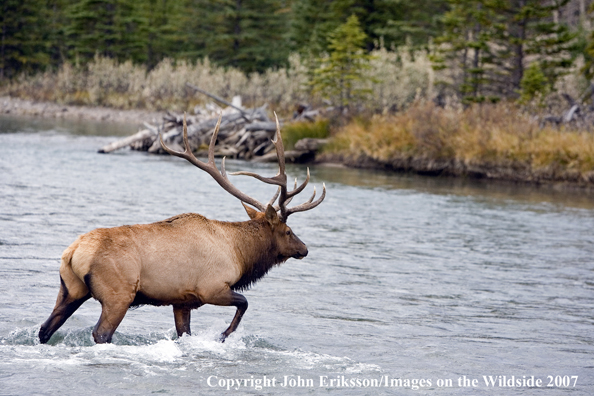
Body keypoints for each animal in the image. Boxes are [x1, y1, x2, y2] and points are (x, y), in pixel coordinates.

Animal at [38, 113, 324, 344]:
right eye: (288, 231)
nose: (305, 249)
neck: (240, 254)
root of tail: (74, 252)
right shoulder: (212, 287)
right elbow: (244, 303)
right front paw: (223, 335)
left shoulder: (181, 300)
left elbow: (184, 333)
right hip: (118, 294)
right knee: (101, 333)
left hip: (70, 289)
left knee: (45, 329)